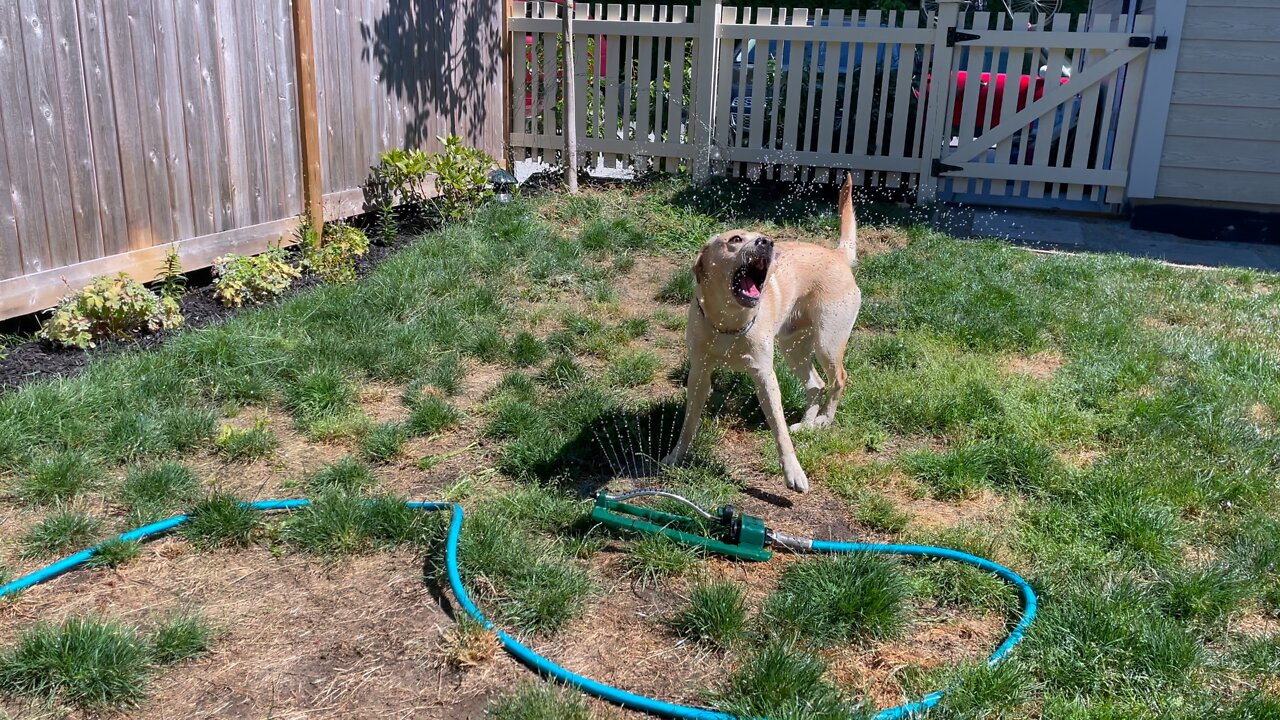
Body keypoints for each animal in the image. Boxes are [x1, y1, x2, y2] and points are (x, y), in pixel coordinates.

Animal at [660, 174, 860, 489]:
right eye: (735, 239)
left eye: (762, 236)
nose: (767, 242)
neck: (728, 322)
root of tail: (838, 255)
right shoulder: (699, 374)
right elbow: (689, 422)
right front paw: (677, 455)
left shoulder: (765, 377)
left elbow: (779, 430)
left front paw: (793, 472)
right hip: (793, 347)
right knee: (816, 384)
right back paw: (807, 423)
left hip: (827, 343)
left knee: (839, 378)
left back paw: (824, 420)